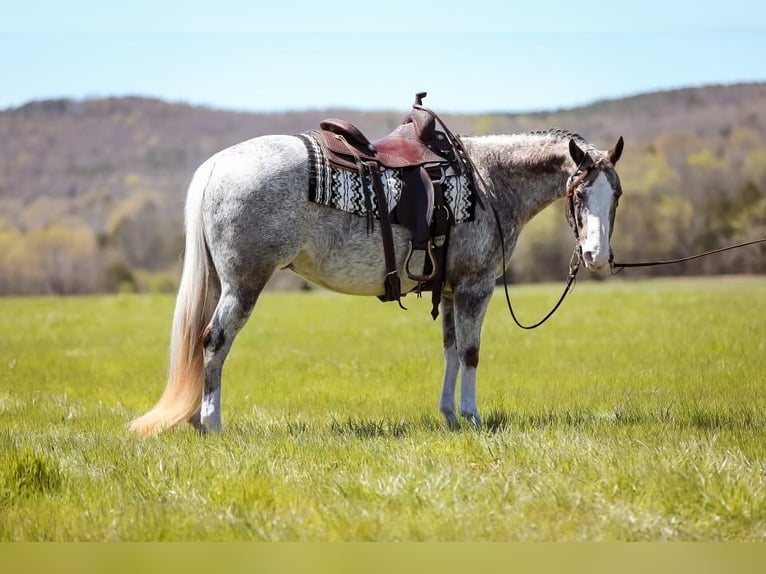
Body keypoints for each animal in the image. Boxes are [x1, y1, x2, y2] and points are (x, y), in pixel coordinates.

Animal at [130, 126, 624, 434]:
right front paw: (472, 417)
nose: (596, 256)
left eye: (615, 194)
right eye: (579, 192)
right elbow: (471, 353)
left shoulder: (448, 291)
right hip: (243, 285)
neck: (488, 181)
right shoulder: (474, 287)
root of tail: (215, 167)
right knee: (214, 342)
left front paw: (449, 417)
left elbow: (449, 352)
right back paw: (212, 423)